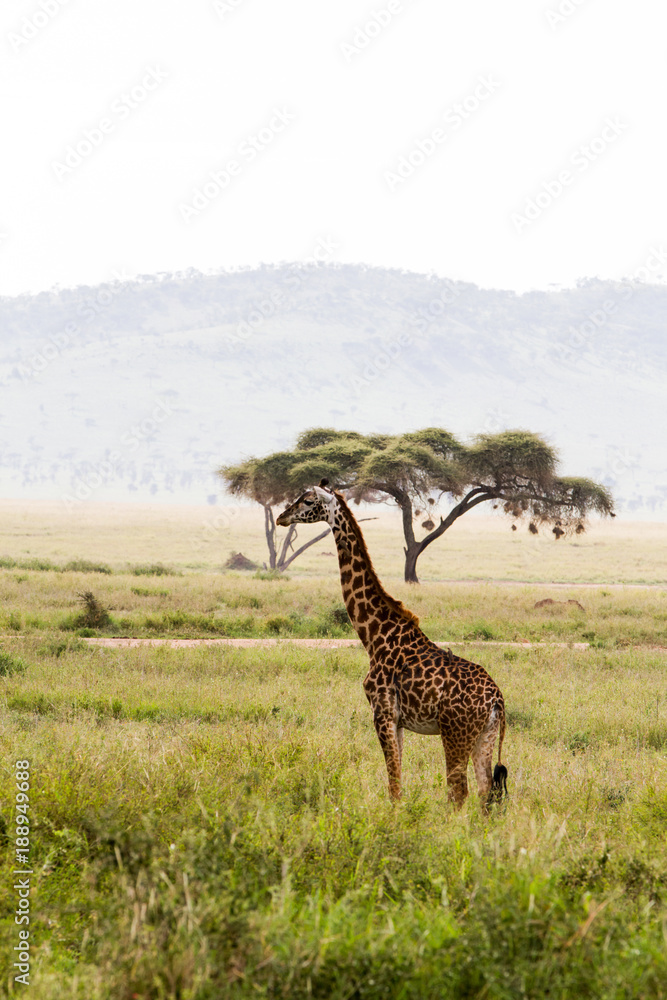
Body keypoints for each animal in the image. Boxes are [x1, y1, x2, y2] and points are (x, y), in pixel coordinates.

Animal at [276, 480, 508, 808]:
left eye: (308, 501)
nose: (281, 517)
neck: (375, 636)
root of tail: (497, 700)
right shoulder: (398, 721)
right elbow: (399, 781)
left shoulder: (382, 713)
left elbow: (394, 787)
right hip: (484, 736)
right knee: (485, 790)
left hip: (455, 733)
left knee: (458, 791)